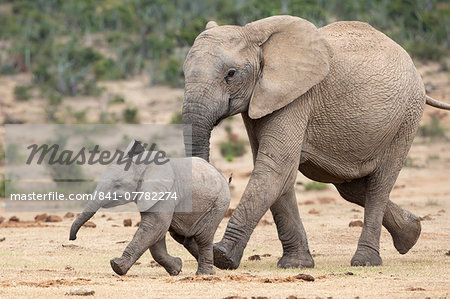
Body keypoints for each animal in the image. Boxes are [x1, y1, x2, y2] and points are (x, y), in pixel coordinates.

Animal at [71, 141, 232, 276]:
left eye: (117, 185)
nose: (73, 238)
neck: (142, 166)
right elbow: (156, 236)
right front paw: (176, 268)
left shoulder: (165, 194)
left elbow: (155, 226)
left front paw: (116, 266)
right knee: (185, 237)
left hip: (219, 203)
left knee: (203, 237)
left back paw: (205, 274)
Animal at [181, 15, 448, 270]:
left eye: (231, 74)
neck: (256, 36)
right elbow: (278, 174)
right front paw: (296, 264)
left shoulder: (297, 97)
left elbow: (276, 168)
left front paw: (222, 257)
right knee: (350, 187)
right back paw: (411, 233)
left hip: (406, 118)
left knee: (379, 185)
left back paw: (366, 261)